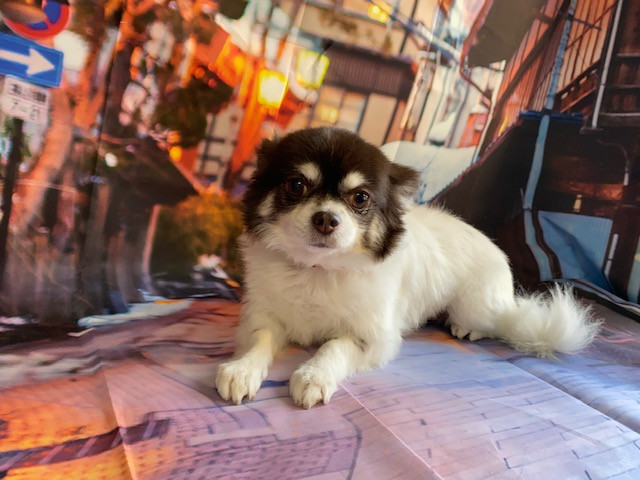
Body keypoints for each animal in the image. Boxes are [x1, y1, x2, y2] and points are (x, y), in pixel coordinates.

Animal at [215, 127, 601, 409]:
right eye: (296, 185)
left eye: (360, 198)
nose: (326, 218)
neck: (316, 269)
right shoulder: (263, 317)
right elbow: (260, 341)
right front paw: (241, 370)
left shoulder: (373, 339)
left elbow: (333, 347)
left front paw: (313, 377)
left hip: (479, 305)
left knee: (490, 321)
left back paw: (466, 327)